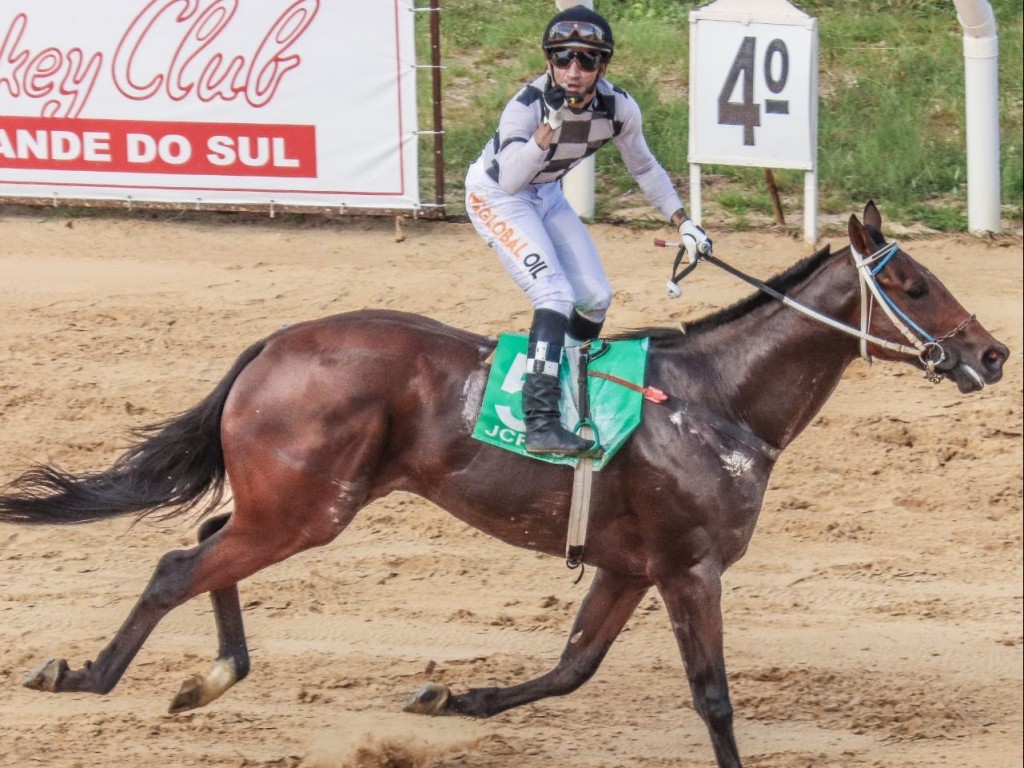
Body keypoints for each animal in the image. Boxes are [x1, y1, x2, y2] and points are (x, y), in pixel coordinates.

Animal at [0, 204, 1007, 768]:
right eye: (914, 284)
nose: (993, 353)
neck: (717, 400)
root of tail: (276, 342)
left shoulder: (629, 567)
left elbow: (570, 669)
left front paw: (453, 700)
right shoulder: (689, 569)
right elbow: (713, 697)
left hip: (289, 505)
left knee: (209, 544)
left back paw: (211, 678)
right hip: (305, 510)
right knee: (180, 564)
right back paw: (86, 675)